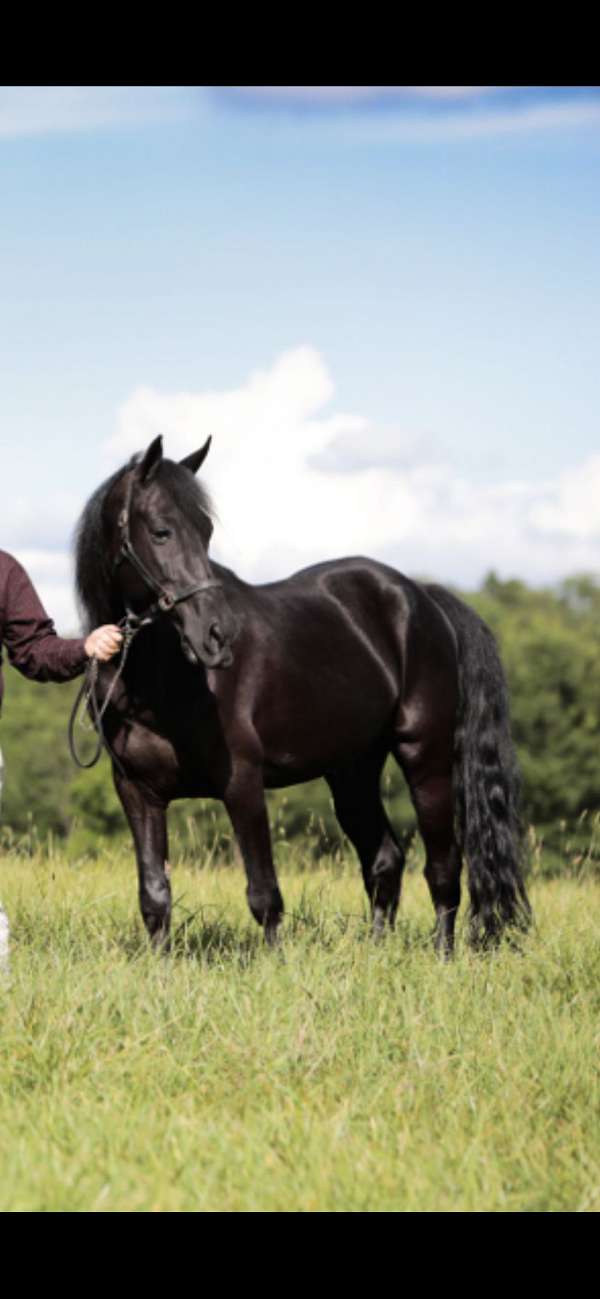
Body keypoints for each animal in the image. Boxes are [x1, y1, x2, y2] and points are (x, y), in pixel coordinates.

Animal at [74, 435, 531, 955]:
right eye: (161, 531)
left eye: (206, 531)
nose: (219, 635)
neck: (159, 678)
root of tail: (424, 598)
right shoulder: (137, 791)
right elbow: (154, 895)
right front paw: (161, 966)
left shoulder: (242, 782)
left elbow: (263, 894)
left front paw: (274, 964)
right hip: (352, 770)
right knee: (385, 859)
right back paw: (376, 952)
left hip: (425, 758)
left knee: (442, 868)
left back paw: (442, 956)